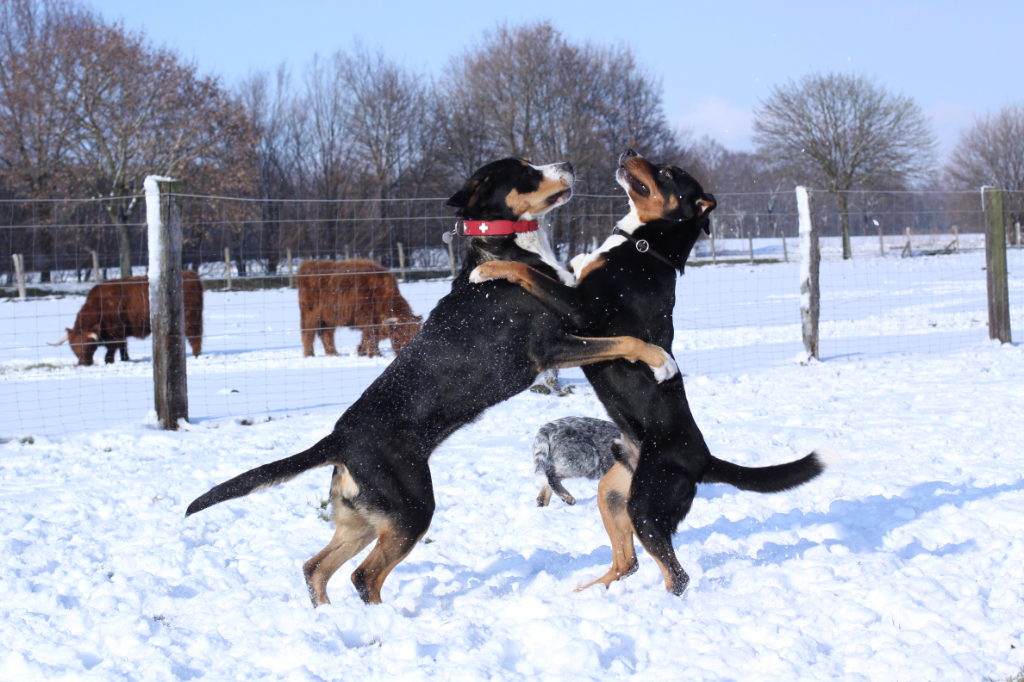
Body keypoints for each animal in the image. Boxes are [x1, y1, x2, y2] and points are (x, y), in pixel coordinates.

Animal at [53, 270, 203, 366]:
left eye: (88, 346)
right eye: (73, 348)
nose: (83, 364)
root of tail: (190, 273)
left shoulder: (115, 333)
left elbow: (112, 349)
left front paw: (109, 361)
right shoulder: (122, 332)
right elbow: (123, 347)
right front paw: (125, 359)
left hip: (191, 318)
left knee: (195, 336)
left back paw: (196, 355)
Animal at [184, 159, 679, 606]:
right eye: (526, 171)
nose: (569, 164)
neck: (506, 247)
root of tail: (339, 438)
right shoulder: (553, 346)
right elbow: (627, 339)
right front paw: (662, 362)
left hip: (365, 517)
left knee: (316, 568)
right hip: (411, 509)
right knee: (364, 577)